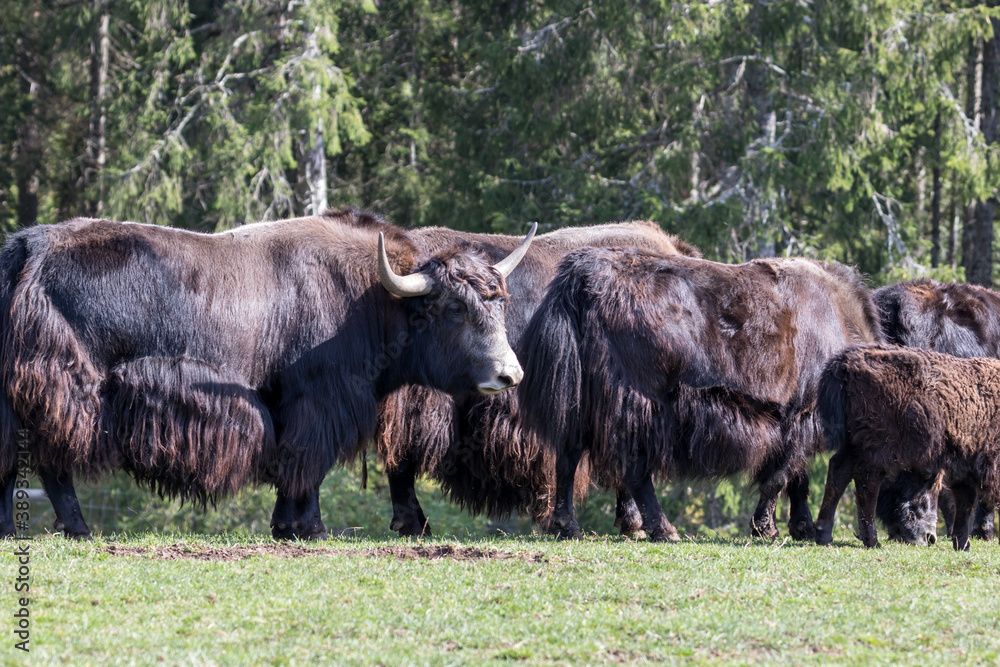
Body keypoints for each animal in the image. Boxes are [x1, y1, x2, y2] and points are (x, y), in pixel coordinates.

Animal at [0, 209, 535, 539]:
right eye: (454, 308)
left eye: (499, 303)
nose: (510, 375)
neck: (373, 300)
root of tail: (29, 246)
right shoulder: (319, 398)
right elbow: (309, 461)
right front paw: (312, 529)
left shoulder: (287, 404)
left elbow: (289, 462)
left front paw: (284, 527)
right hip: (70, 384)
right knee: (49, 457)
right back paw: (74, 528)